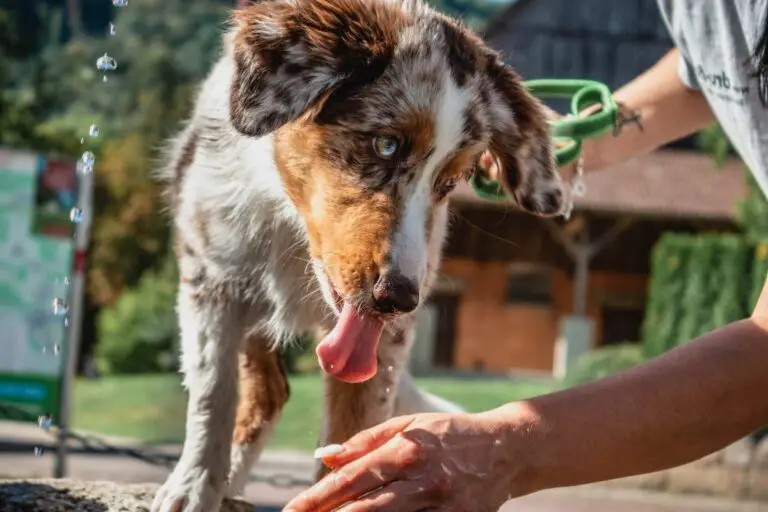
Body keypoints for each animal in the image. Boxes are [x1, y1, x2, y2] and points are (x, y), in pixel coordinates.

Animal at [153, 1, 568, 508]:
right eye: (385, 145)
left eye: (449, 182)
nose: (399, 298)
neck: (292, 226)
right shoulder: (211, 281)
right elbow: (213, 393)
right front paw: (192, 488)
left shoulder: (388, 335)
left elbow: (353, 426)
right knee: (263, 391)